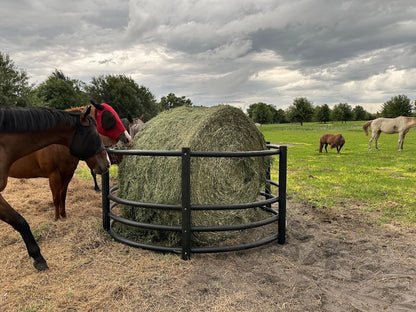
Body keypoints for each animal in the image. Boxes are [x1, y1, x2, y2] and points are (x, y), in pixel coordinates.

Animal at [0, 105, 110, 270]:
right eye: (94, 135)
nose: (107, 163)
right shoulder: (54, 176)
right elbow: (21, 220)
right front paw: (39, 256)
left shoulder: (67, 175)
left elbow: (62, 196)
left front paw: (63, 216)